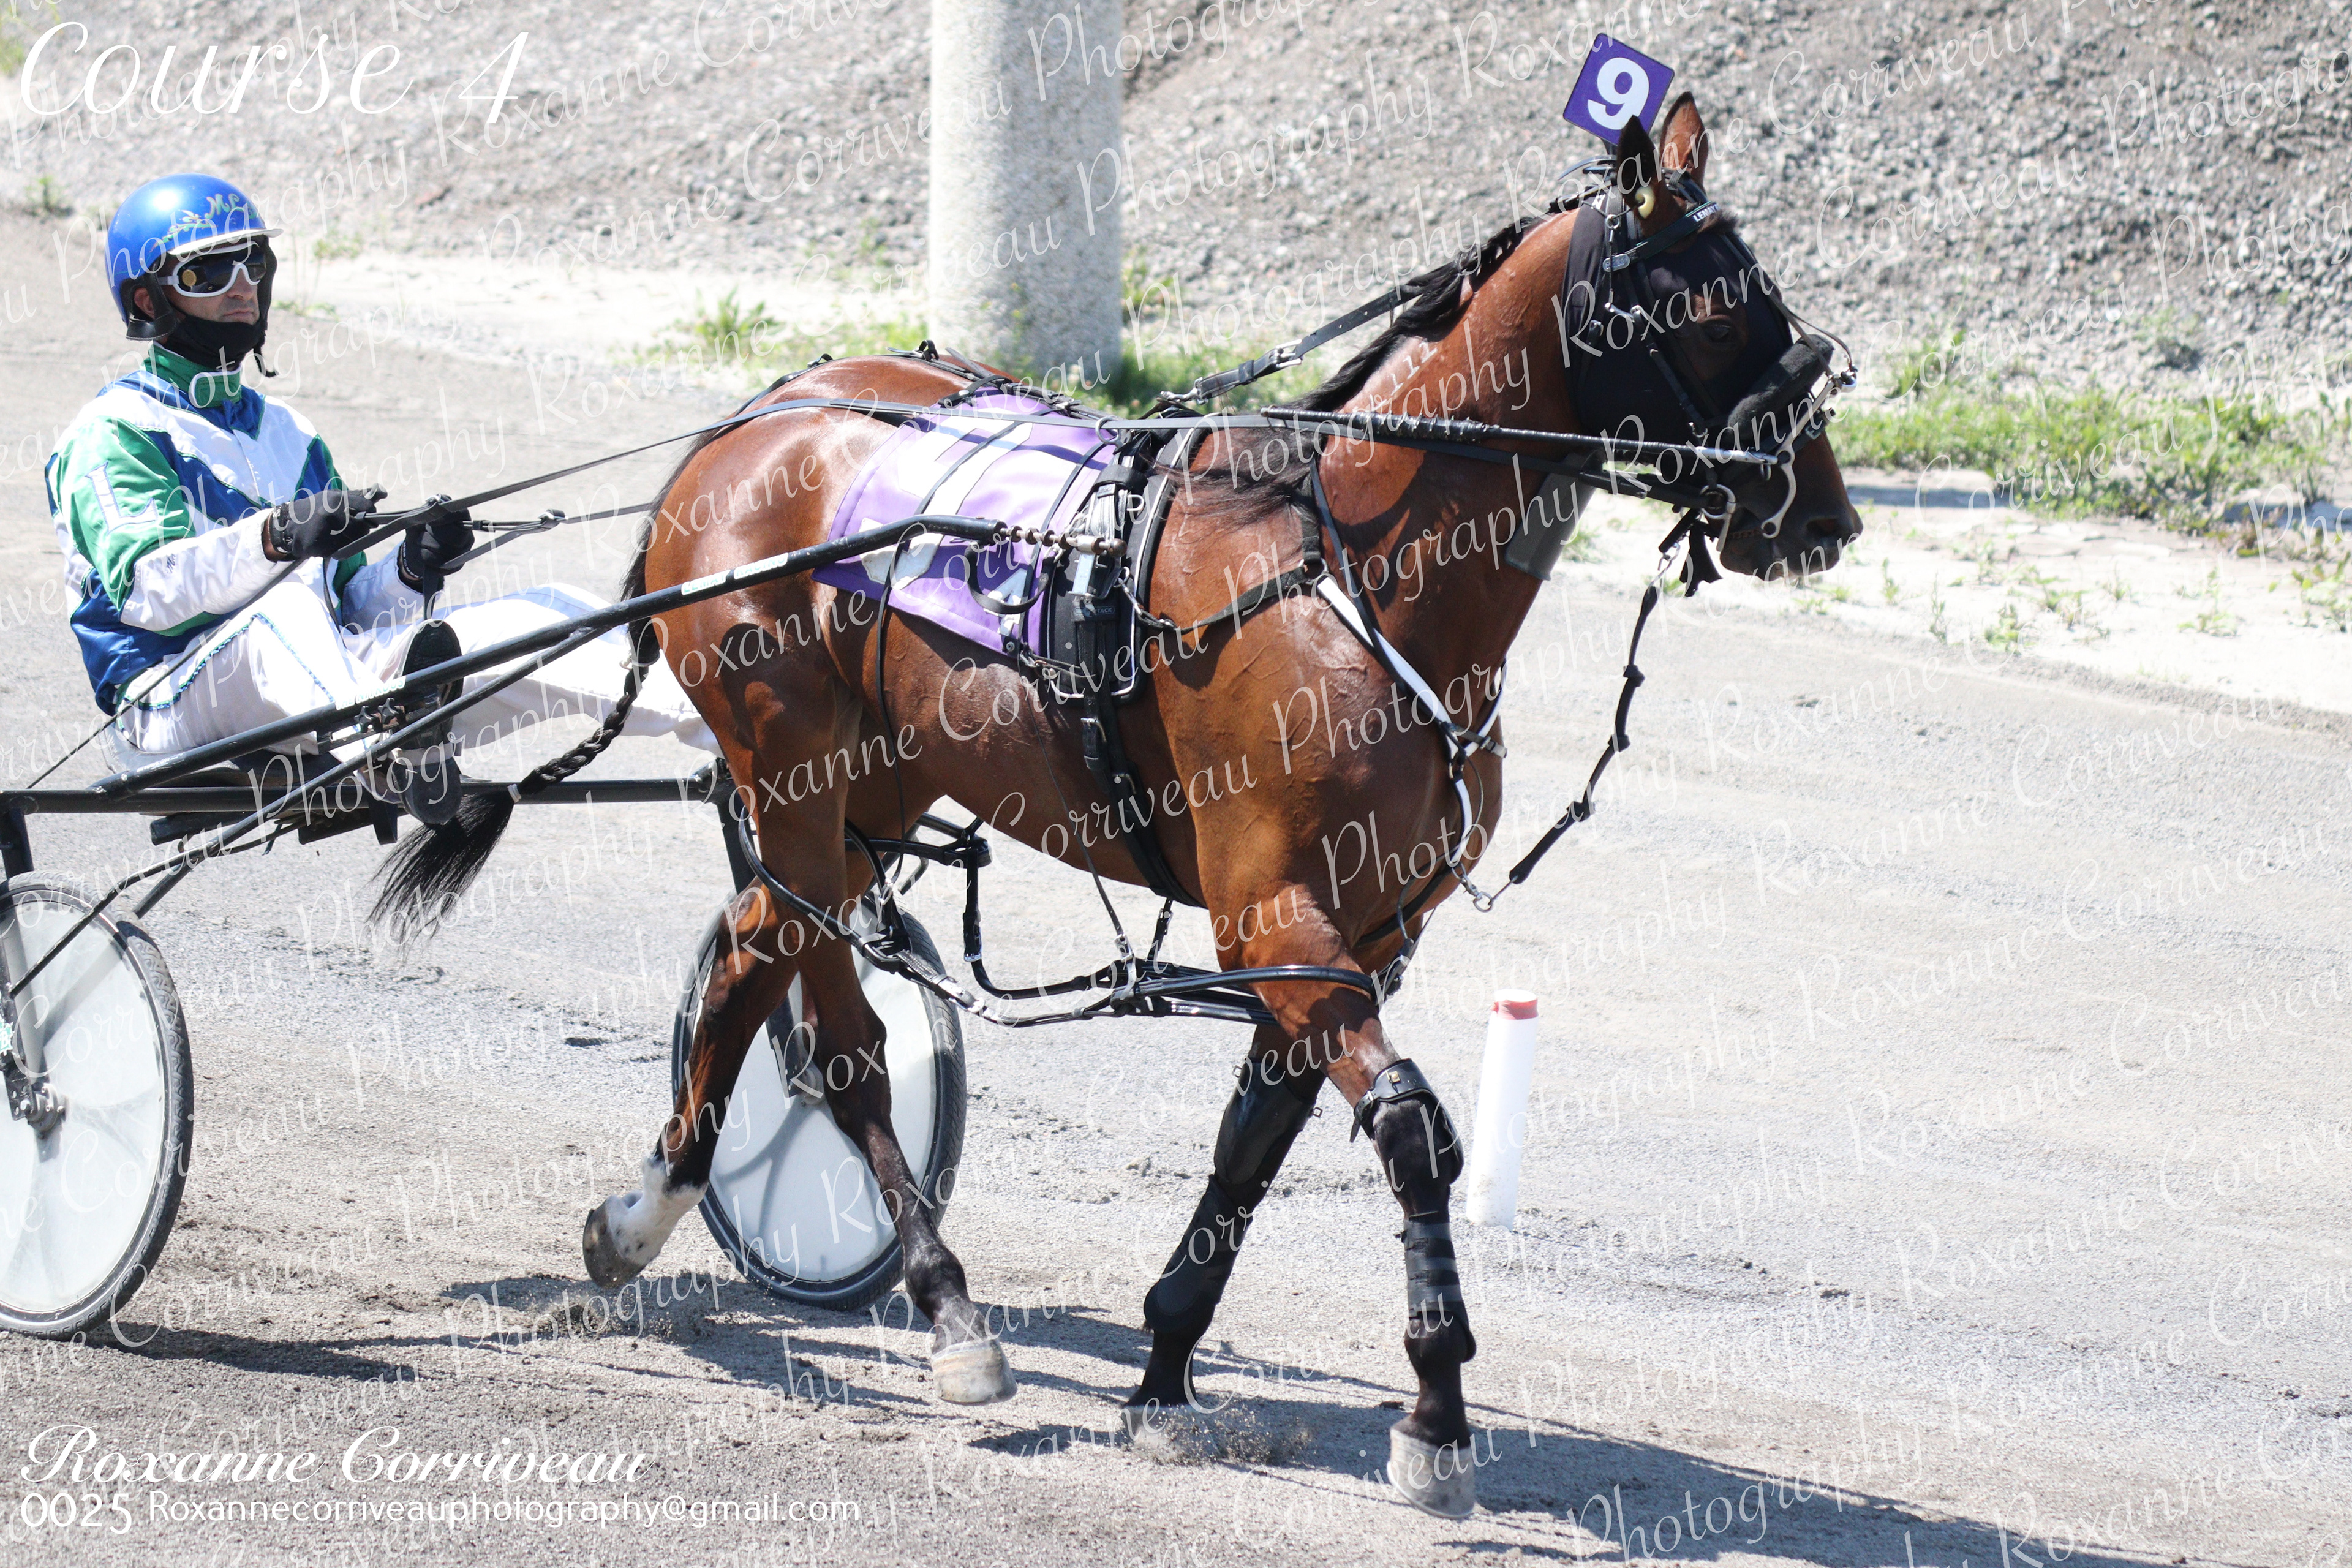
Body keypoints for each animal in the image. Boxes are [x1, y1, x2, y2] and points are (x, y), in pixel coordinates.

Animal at [374, 94, 1859, 1517]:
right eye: (1712, 304)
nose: (1822, 513)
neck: (1351, 577)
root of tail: (748, 421)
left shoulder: (1365, 935)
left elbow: (1252, 1147)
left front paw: (1163, 1369)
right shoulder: (1278, 920)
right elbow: (1411, 1130)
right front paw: (1436, 1417)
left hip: (865, 791)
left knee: (766, 964)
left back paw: (763, 1255)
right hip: (787, 768)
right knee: (822, 1021)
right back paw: (847, 1274)